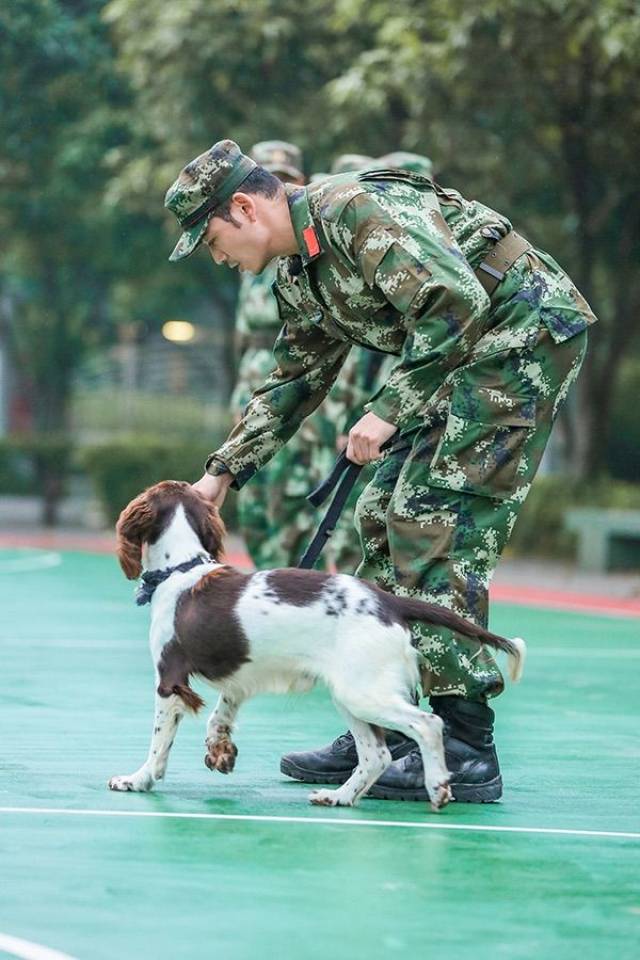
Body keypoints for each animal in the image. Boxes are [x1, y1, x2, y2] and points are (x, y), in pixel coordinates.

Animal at [106, 480, 524, 808]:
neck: (182, 568)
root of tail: (389, 602)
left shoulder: (169, 679)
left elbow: (159, 742)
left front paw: (137, 779)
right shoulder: (239, 679)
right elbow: (220, 715)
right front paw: (220, 752)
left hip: (362, 692)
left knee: (428, 724)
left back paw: (437, 786)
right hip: (350, 694)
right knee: (376, 755)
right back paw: (339, 796)